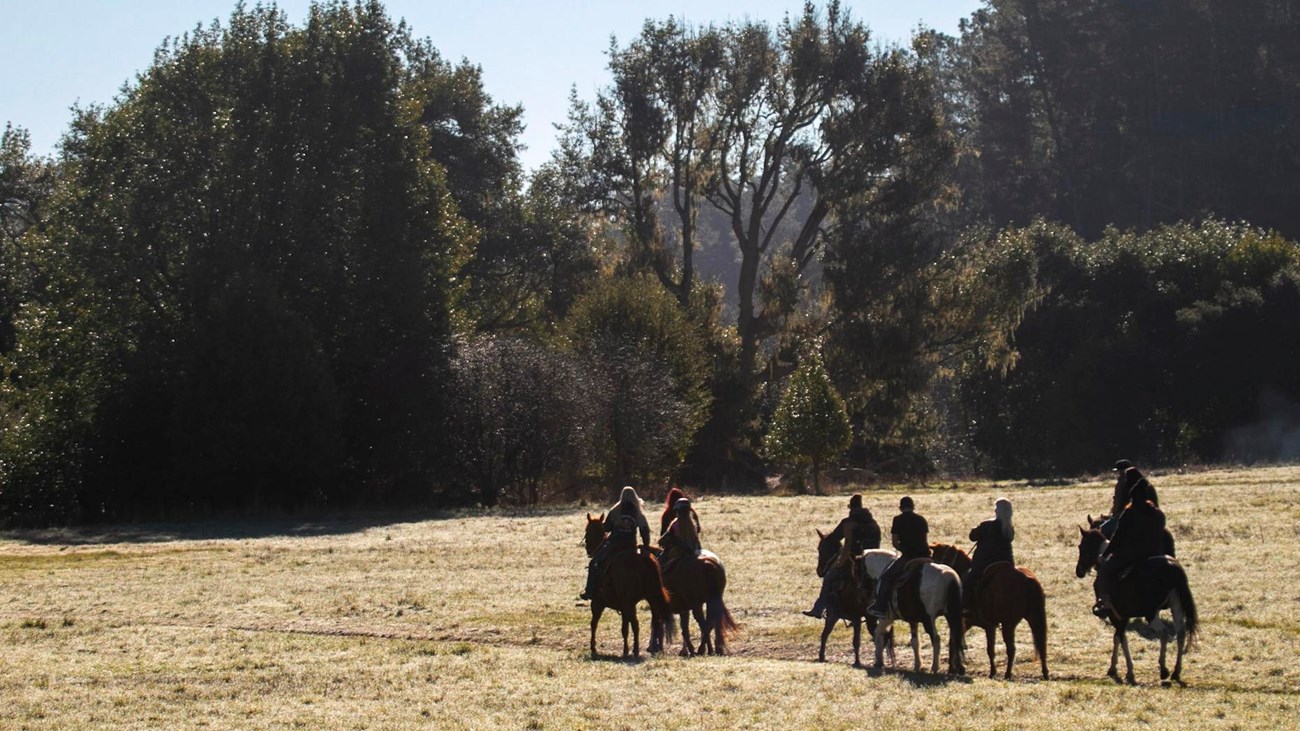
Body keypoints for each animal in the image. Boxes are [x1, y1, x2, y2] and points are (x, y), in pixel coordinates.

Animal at [583, 513, 675, 658]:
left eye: (587, 531)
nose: (588, 549)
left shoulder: (598, 603)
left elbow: (594, 623)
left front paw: (593, 648)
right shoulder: (625, 606)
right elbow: (626, 627)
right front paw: (626, 650)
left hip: (628, 602)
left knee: (635, 624)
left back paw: (634, 650)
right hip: (651, 599)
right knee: (654, 621)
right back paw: (650, 648)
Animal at [813, 529, 890, 668]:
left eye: (820, 548)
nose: (819, 571)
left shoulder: (842, 615)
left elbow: (830, 635)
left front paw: (857, 662)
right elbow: (826, 634)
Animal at [930, 543, 1048, 680]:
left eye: (934, 557)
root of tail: (1028, 580)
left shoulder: (983, 625)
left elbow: (988, 649)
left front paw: (991, 672)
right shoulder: (971, 624)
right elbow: (955, 642)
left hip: (1009, 624)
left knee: (1011, 649)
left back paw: (1008, 674)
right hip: (1033, 619)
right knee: (1041, 644)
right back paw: (1045, 673)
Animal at [1075, 523, 1199, 685]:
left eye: (1081, 546)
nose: (1078, 571)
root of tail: (1174, 570)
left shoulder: (1116, 615)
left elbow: (1121, 638)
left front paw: (1128, 671)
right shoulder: (1124, 616)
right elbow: (1117, 637)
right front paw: (1114, 667)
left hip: (1151, 613)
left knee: (1163, 632)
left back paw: (1163, 668)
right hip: (1176, 607)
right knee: (1181, 634)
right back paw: (1176, 672)